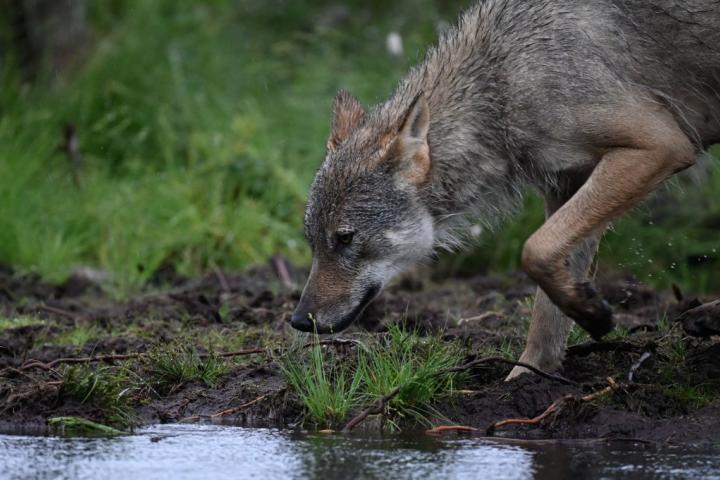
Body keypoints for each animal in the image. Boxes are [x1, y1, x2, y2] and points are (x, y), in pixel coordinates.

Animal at [291, 0, 720, 379]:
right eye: (313, 242)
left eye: (345, 238)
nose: (297, 320)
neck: (502, 83)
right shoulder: (568, 185)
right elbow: (546, 312)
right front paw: (526, 381)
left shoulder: (661, 146)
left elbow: (534, 249)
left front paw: (594, 316)